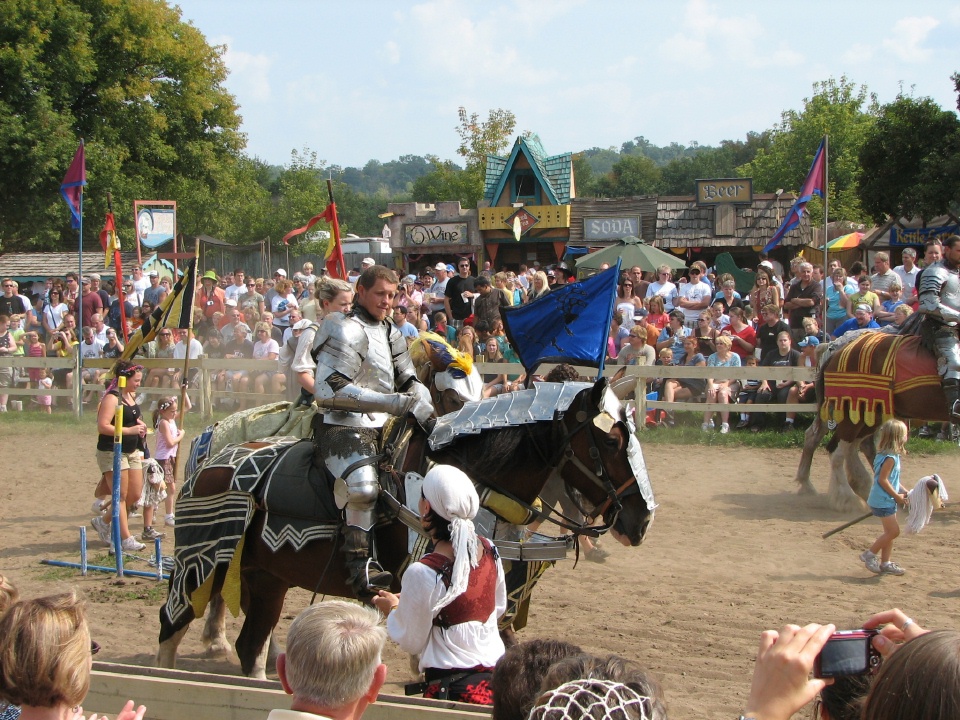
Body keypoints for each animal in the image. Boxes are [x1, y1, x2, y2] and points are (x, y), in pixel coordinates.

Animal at [158, 374, 656, 676]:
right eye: (612, 442)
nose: (641, 520)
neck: (471, 482)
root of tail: (210, 458)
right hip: (199, 564)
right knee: (172, 626)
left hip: (267, 578)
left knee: (253, 647)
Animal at [796, 330, 944, 510]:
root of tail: (834, 349)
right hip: (853, 414)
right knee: (838, 450)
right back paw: (848, 497)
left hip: (866, 416)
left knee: (844, 445)